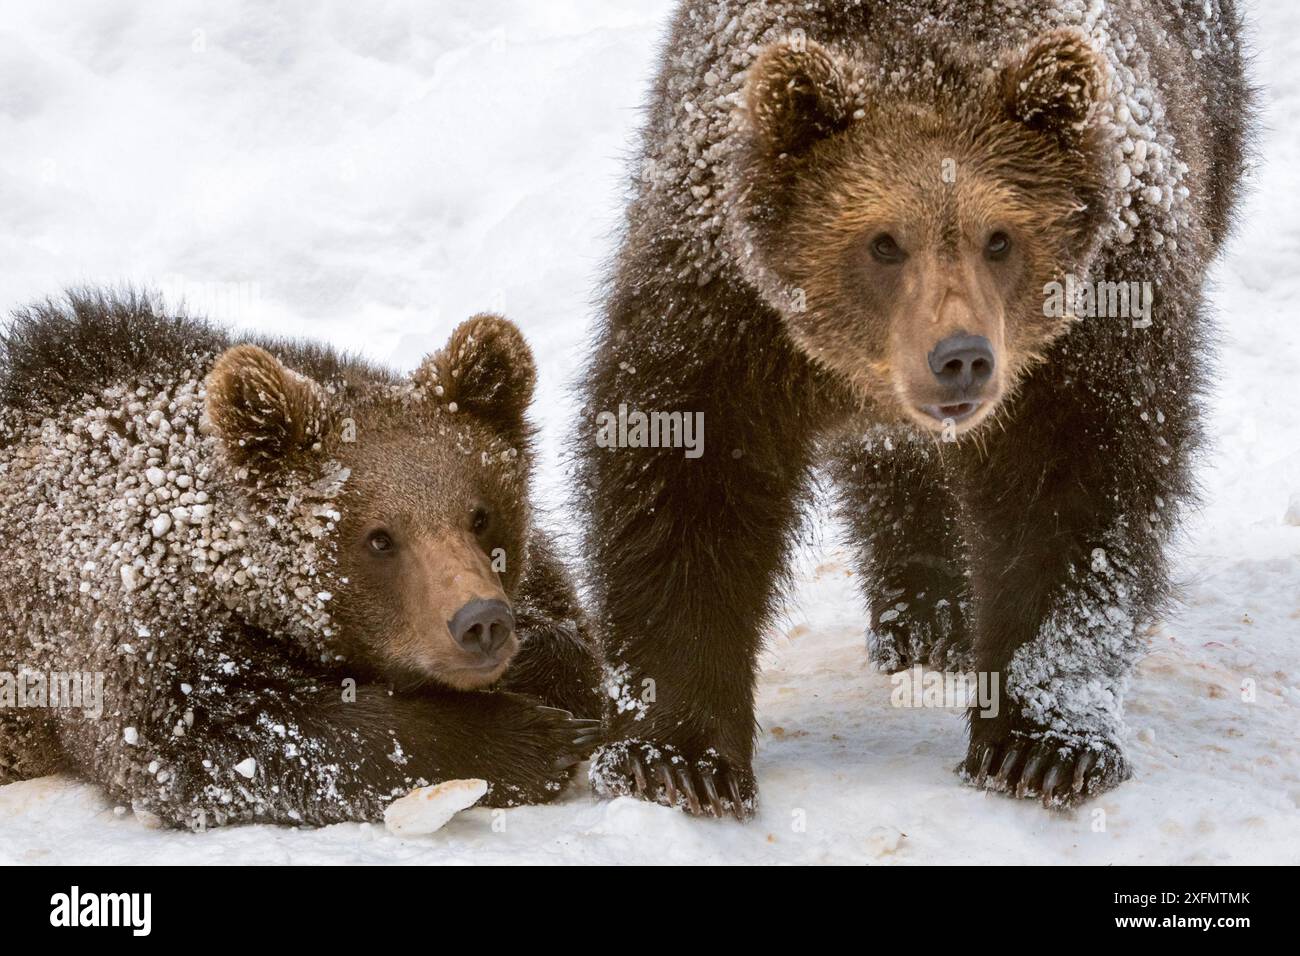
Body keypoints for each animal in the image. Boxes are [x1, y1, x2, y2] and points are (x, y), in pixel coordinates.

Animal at [0, 290, 600, 832]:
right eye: (380, 538)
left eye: (479, 516)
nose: (481, 622)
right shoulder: (130, 624)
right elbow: (226, 737)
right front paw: (533, 737)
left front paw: (551, 672)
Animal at [579, 3, 1248, 816]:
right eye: (883, 242)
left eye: (1001, 238)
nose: (960, 357)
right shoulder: (721, 309)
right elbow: (684, 495)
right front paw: (678, 758)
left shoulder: (1097, 317)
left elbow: (1076, 500)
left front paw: (1042, 747)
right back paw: (925, 613)